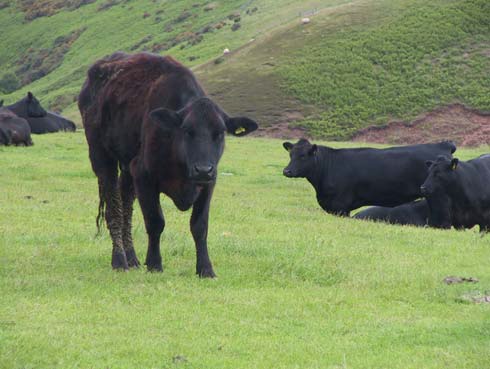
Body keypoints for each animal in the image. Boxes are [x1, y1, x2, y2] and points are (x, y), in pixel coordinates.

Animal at [78, 52, 258, 276]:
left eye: (220, 133)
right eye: (187, 130)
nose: (203, 169)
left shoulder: (209, 183)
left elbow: (200, 226)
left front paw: (205, 268)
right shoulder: (143, 175)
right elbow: (155, 221)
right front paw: (155, 263)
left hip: (127, 167)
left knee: (126, 204)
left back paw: (132, 258)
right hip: (101, 157)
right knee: (115, 209)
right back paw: (119, 260)